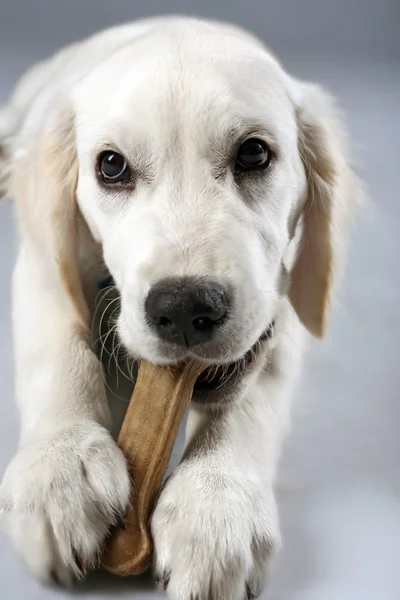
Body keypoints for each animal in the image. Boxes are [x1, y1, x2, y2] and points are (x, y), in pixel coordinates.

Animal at [0, 16, 360, 596]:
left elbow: (253, 396)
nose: (187, 309)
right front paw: (59, 468)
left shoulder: (278, 300)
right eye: (111, 166)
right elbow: (58, 347)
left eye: (254, 154)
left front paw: (215, 505)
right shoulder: (42, 262)